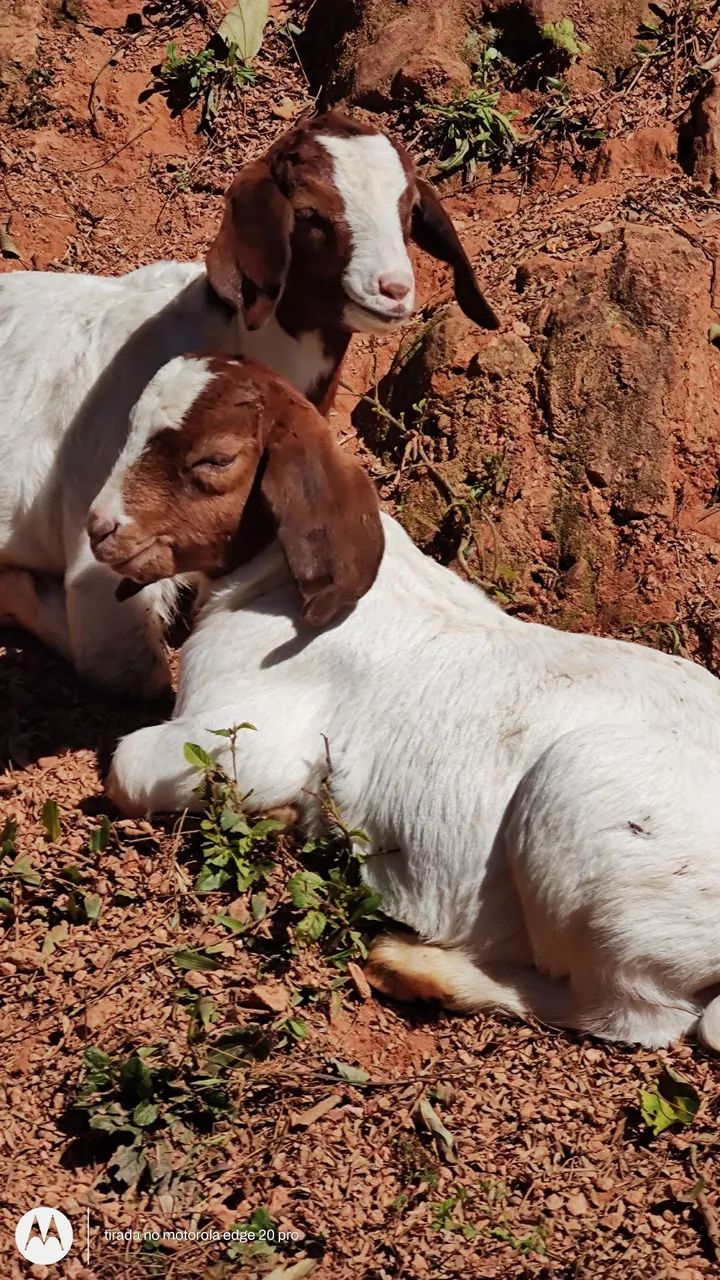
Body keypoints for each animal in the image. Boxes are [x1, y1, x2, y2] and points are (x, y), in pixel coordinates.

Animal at [96, 354, 720, 1052]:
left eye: (214, 460)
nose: (100, 528)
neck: (275, 589)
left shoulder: (254, 737)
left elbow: (129, 766)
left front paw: (278, 817)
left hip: (593, 813)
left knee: (631, 1016)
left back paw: (416, 967)